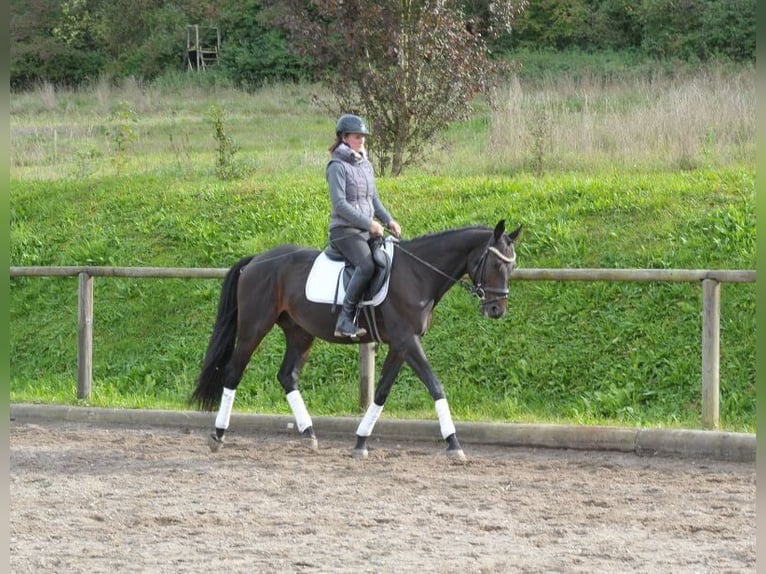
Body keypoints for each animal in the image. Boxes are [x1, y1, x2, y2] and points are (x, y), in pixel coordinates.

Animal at [195, 218, 524, 462]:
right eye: (496, 265)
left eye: (512, 265)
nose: (496, 310)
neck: (418, 274)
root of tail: (257, 260)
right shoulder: (408, 341)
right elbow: (435, 385)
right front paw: (454, 443)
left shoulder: (401, 345)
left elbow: (381, 392)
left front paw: (360, 441)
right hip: (254, 327)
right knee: (233, 372)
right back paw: (218, 435)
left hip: (299, 332)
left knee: (287, 376)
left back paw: (309, 435)